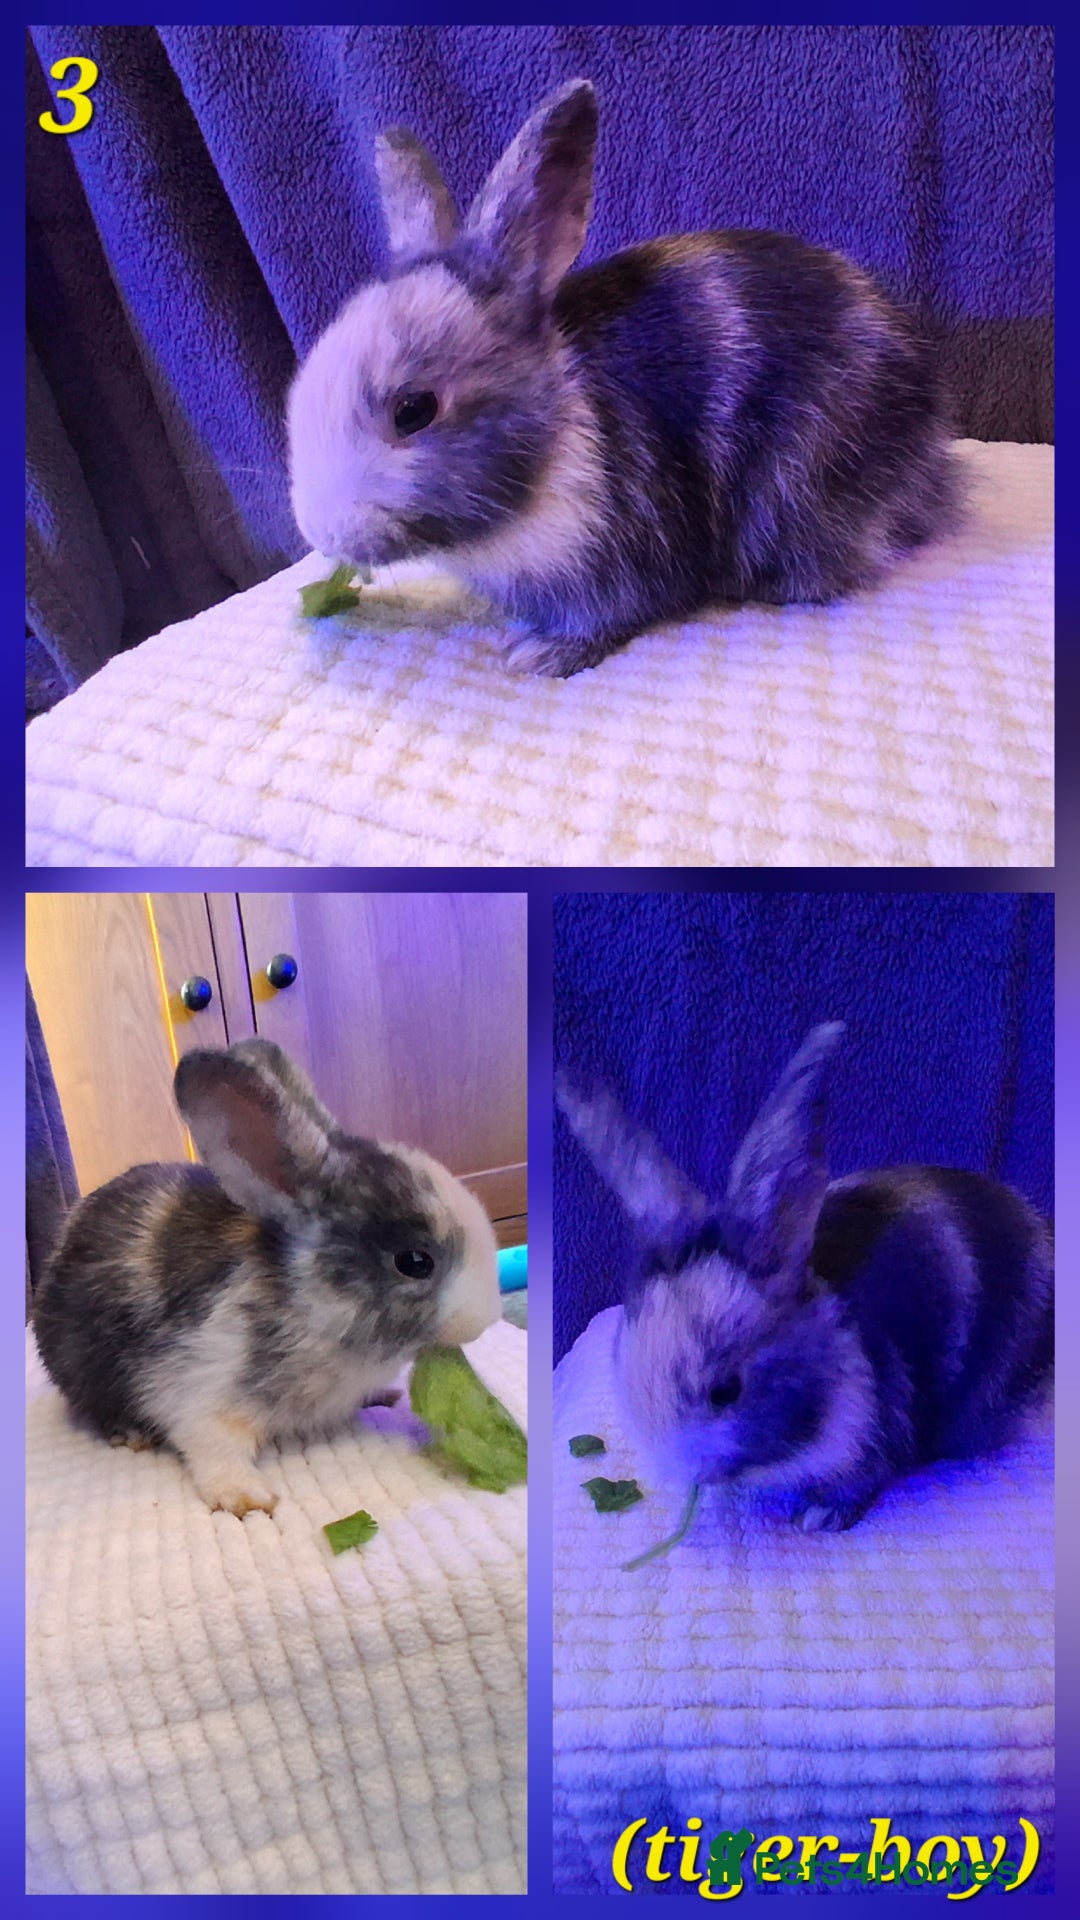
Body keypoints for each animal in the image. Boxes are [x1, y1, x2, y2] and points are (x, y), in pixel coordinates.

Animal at [33, 1038, 502, 1517]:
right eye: (415, 1261)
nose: (483, 1320)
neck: (310, 1306)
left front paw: (383, 1396)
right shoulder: (198, 1387)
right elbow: (213, 1448)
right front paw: (247, 1498)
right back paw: (131, 1434)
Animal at [557, 1022, 1053, 1531]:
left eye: (726, 1390)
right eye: (623, 1365)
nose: (686, 1471)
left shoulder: (870, 1431)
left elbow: (857, 1481)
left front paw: (817, 1518)